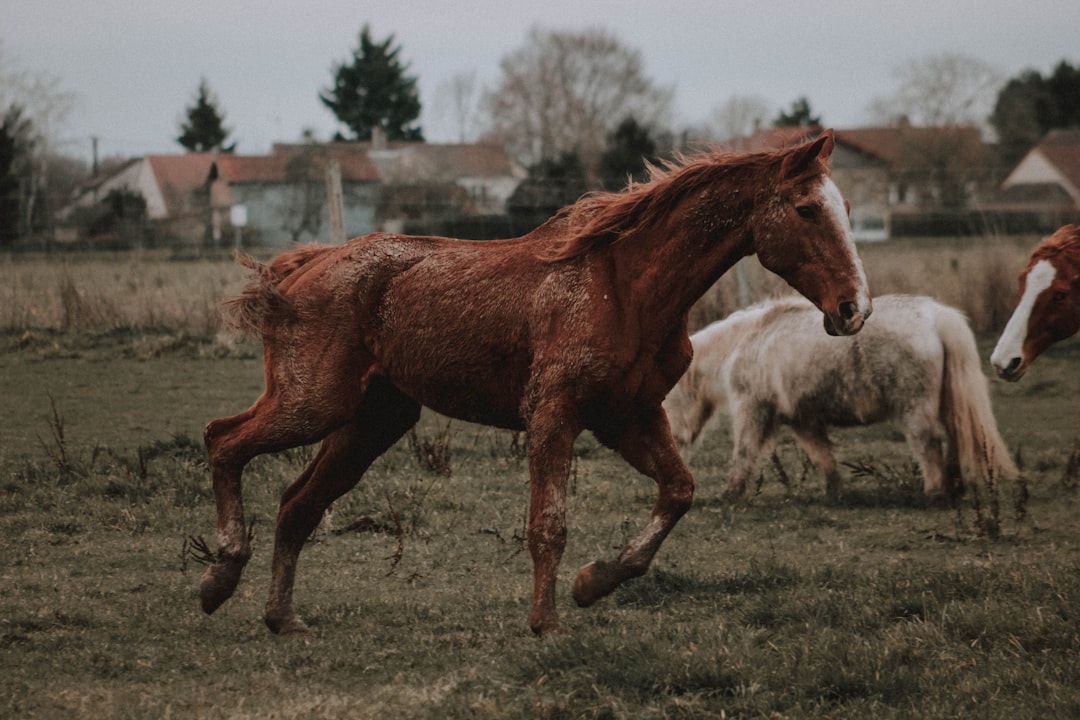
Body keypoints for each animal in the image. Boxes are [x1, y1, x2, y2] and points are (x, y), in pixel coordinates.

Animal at [198, 129, 872, 634]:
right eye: (807, 209)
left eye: (845, 209)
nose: (854, 309)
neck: (624, 288)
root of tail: (302, 268)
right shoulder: (555, 415)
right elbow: (548, 525)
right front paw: (547, 622)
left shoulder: (629, 416)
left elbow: (678, 492)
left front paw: (593, 584)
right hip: (312, 404)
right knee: (223, 441)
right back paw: (219, 577)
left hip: (371, 422)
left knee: (296, 504)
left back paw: (282, 619)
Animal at [660, 295, 1015, 498]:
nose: (675, 440)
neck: (746, 341)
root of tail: (937, 317)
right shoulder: (802, 419)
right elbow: (821, 454)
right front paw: (834, 490)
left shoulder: (754, 410)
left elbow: (745, 452)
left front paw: (731, 493)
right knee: (956, 438)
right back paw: (955, 485)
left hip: (916, 408)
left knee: (928, 445)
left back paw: (935, 491)